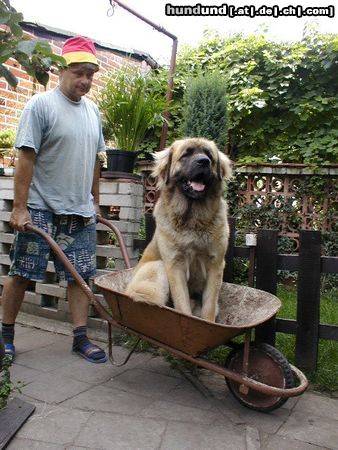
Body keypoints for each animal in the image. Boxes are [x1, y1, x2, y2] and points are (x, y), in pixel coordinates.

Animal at [125, 138, 232, 324]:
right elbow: (182, 304)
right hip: (157, 268)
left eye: (209, 155)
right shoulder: (175, 265)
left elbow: (210, 305)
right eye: (186, 154)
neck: (193, 220)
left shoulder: (215, 264)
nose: (204, 161)